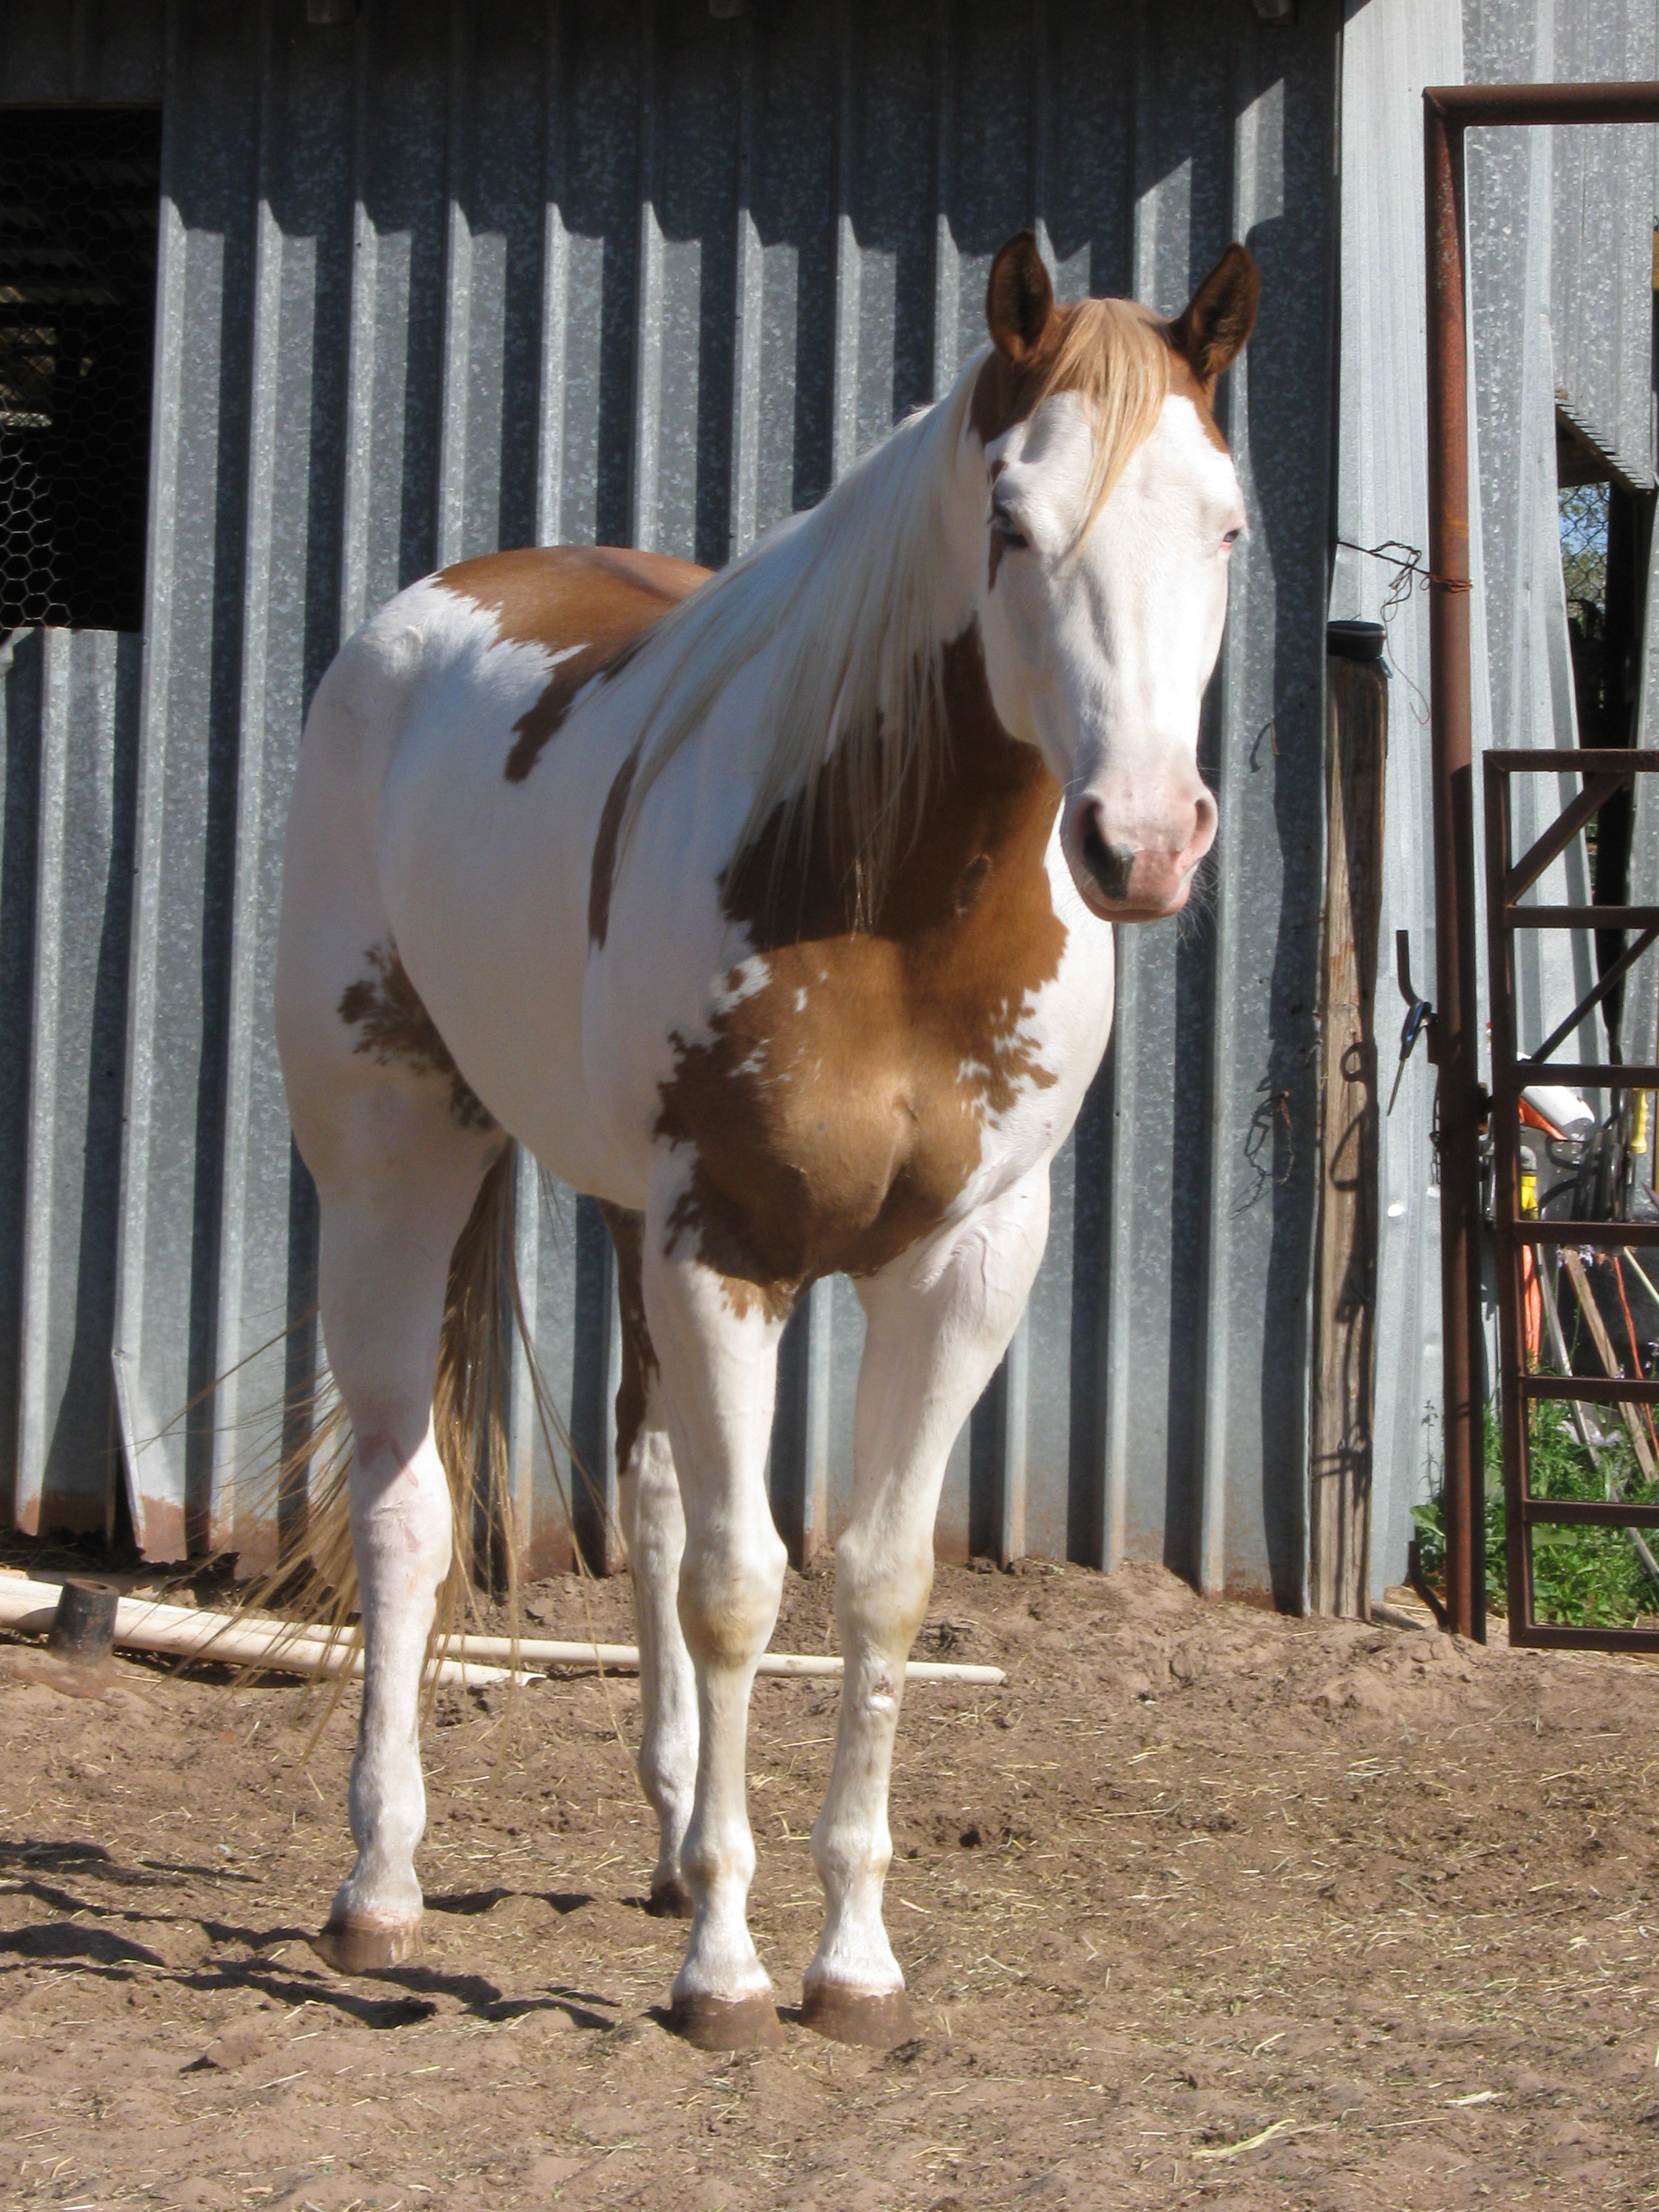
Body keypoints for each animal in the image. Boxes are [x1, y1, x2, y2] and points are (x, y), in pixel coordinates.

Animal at [273, 230, 1257, 2051]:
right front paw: (726, 1977)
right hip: (397, 1161)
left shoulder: (961, 1262)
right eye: (1011, 523)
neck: (888, 893)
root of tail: (425, 615)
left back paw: (668, 1845)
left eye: (1223, 526)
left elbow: (873, 1583)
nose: (1142, 844)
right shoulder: (727, 1243)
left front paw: (850, 1959)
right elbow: (743, 1586)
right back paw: (380, 1885)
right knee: (406, 1509)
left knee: (649, 1494)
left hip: (616, 1214)